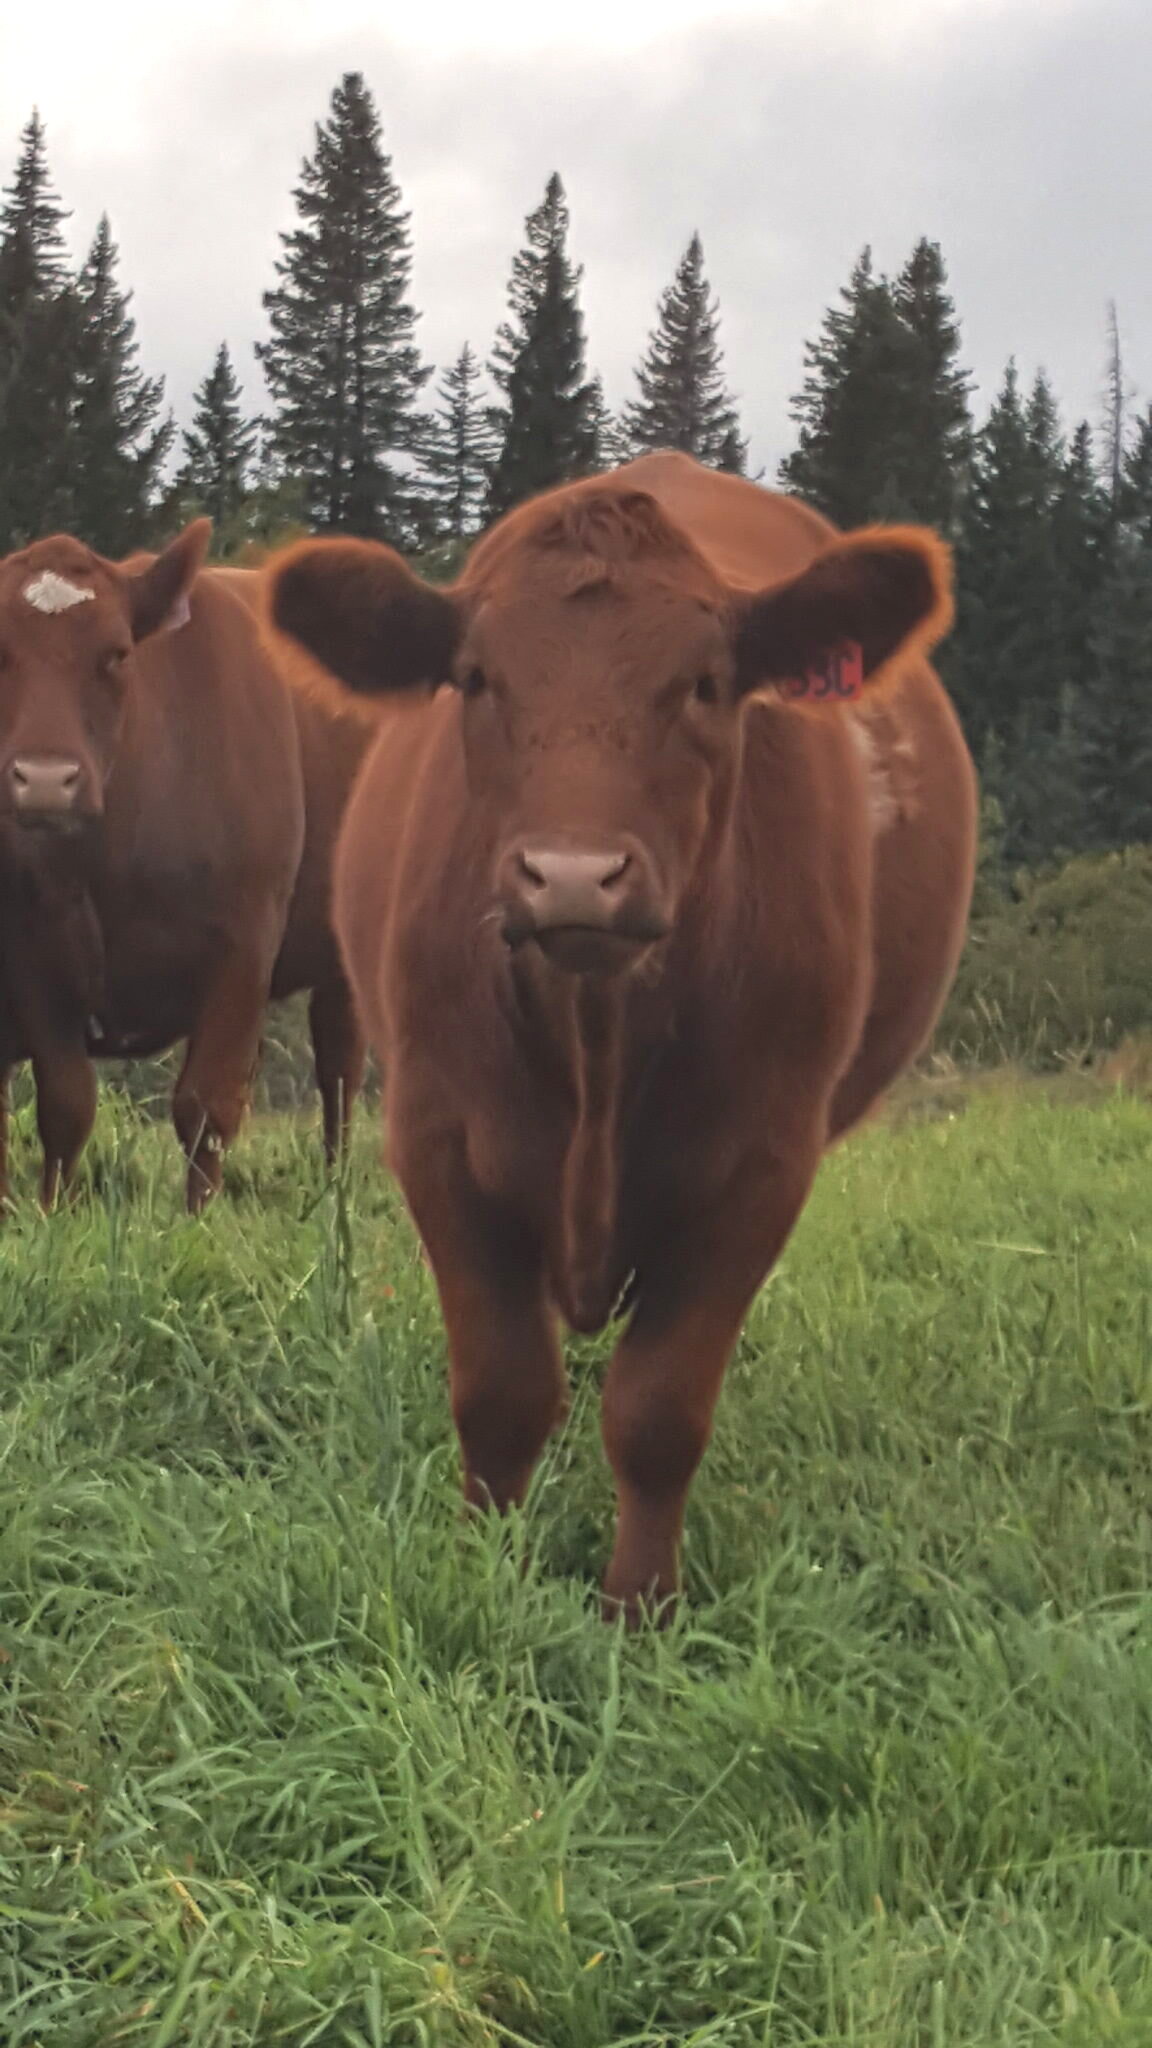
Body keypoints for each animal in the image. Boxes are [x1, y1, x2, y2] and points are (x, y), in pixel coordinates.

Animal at [0, 523, 365, 1211]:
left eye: (117, 654)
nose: (45, 780)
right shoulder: (37, 957)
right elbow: (65, 1102)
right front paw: (53, 1212)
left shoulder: (244, 948)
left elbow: (205, 1106)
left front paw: (197, 1217)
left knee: (339, 1069)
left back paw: (336, 1186)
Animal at [266, 452, 978, 1619]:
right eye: (477, 678)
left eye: (705, 683)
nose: (571, 876)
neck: (596, 1032)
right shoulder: (436, 1138)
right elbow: (502, 1392)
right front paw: (490, 1572)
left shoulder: (760, 1168)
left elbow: (657, 1411)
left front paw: (639, 1604)